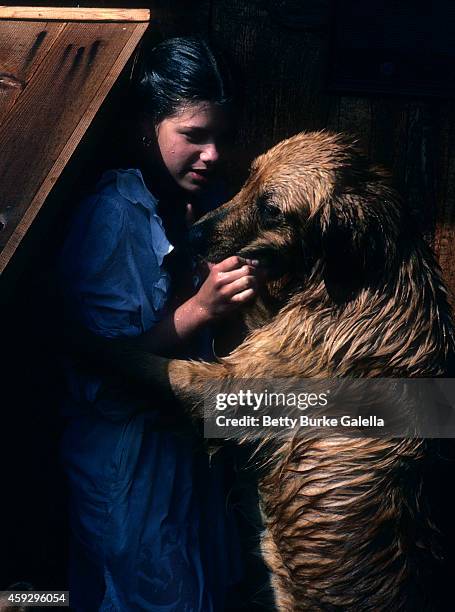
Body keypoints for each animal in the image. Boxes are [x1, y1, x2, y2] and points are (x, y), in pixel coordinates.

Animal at [77, 133, 455, 612]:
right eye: (249, 178)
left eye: (271, 209)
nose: (192, 236)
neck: (366, 282)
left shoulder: (229, 386)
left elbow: (155, 365)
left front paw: (82, 337)